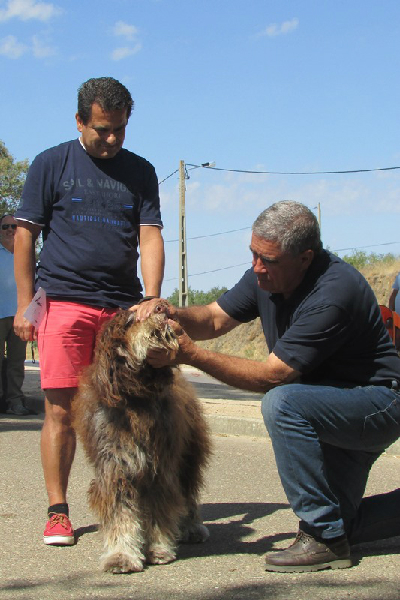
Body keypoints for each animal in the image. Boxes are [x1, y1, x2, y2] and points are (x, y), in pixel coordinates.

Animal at [73, 310, 211, 572]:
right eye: (131, 320)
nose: (161, 309)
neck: (136, 397)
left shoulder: (160, 468)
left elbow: (160, 510)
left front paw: (159, 549)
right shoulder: (115, 468)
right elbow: (120, 514)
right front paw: (121, 555)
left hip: (188, 458)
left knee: (188, 495)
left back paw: (192, 528)